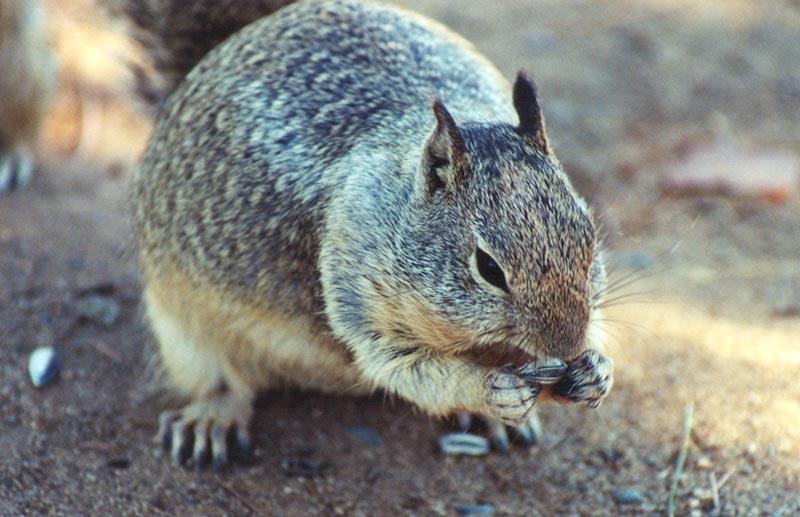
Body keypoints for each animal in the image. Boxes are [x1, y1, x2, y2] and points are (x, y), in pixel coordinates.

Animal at [130, 0, 612, 468]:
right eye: (489, 268)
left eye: (588, 238)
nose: (567, 344)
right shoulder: (361, 303)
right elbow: (408, 372)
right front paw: (492, 391)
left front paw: (595, 371)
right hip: (181, 331)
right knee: (222, 383)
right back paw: (211, 421)